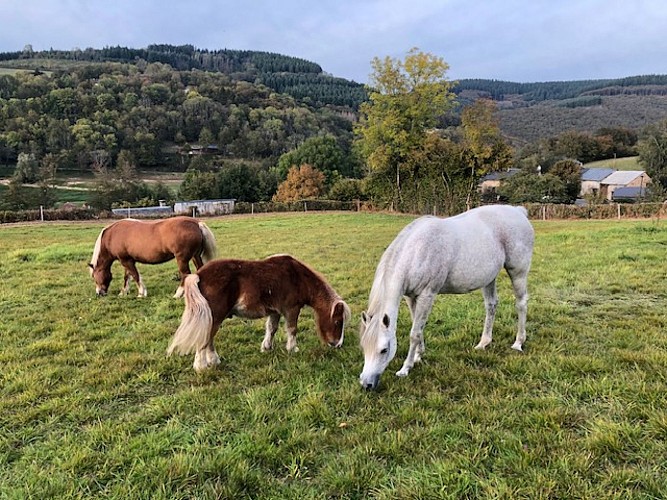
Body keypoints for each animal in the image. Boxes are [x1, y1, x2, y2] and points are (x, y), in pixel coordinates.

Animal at [89, 216, 217, 298]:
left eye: (94, 277)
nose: (99, 293)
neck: (112, 236)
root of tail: (196, 223)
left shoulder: (126, 261)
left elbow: (135, 276)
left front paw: (141, 293)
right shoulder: (127, 260)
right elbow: (127, 276)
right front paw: (124, 292)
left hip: (182, 259)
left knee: (185, 274)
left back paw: (178, 294)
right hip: (195, 256)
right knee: (199, 269)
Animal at [166, 254, 351, 373]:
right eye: (337, 322)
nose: (338, 344)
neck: (297, 276)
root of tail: (198, 275)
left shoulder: (275, 311)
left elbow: (272, 329)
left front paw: (267, 347)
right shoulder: (291, 309)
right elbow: (292, 329)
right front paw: (293, 349)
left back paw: (214, 361)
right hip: (214, 317)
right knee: (205, 338)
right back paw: (202, 366)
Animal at [359, 205, 534, 390]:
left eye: (384, 350)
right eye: (363, 347)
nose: (366, 384)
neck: (416, 251)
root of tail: (518, 211)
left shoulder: (427, 295)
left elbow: (414, 333)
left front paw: (405, 368)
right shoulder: (411, 297)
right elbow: (418, 327)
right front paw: (418, 356)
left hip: (518, 273)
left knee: (521, 304)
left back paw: (518, 343)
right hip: (489, 278)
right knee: (491, 305)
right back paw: (483, 343)